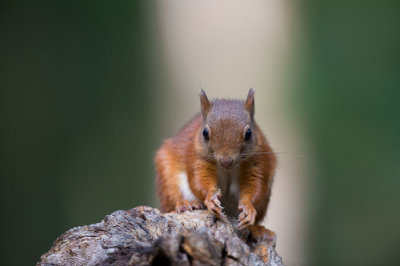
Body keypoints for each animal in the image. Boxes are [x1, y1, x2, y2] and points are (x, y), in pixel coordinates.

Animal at [155, 89, 276, 243]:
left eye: (249, 133)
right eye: (205, 133)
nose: (226, 161)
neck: (228, 169)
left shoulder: (258, 160)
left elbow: (256, 186)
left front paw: (248, 208)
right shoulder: (197, 156)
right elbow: (199, 179)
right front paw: (211, 198)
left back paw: (258, 230)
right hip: (168, 178)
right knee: (173, 195)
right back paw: (185, 205)